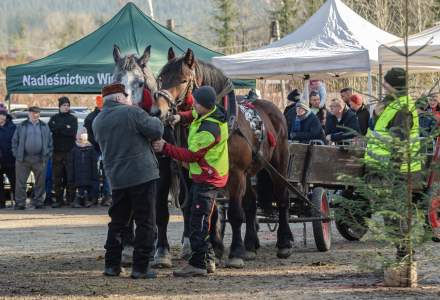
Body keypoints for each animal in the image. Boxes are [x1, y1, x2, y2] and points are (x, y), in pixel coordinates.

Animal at [153, 47, 294, 268]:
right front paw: (216, 250)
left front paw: (235, 253)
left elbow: (235, 214)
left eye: (183, 80)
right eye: (160, 78)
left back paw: (284, 243)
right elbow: (212, 213)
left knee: (281, 200)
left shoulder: (235, 174)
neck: (220, 121)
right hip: (249, 174)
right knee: (251, 205)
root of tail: (274, 110)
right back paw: (250, 246)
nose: (159, 111)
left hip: (277, 166)